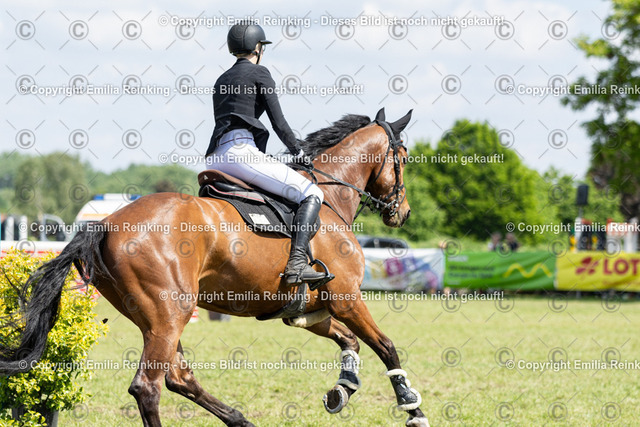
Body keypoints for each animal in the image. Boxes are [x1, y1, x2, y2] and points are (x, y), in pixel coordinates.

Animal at [0, 108, 429, 427]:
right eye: (405, 158)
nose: (403, 213)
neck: (330, 200)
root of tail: (103, 224)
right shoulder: (347, 299)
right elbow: (387, 348)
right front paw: (412, 408)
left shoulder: (309, 310)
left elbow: (350, 341)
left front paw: (341, 390)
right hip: (171, 313)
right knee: (148, 386)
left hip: (157, 318)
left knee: (179, 377)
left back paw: (240, 419)